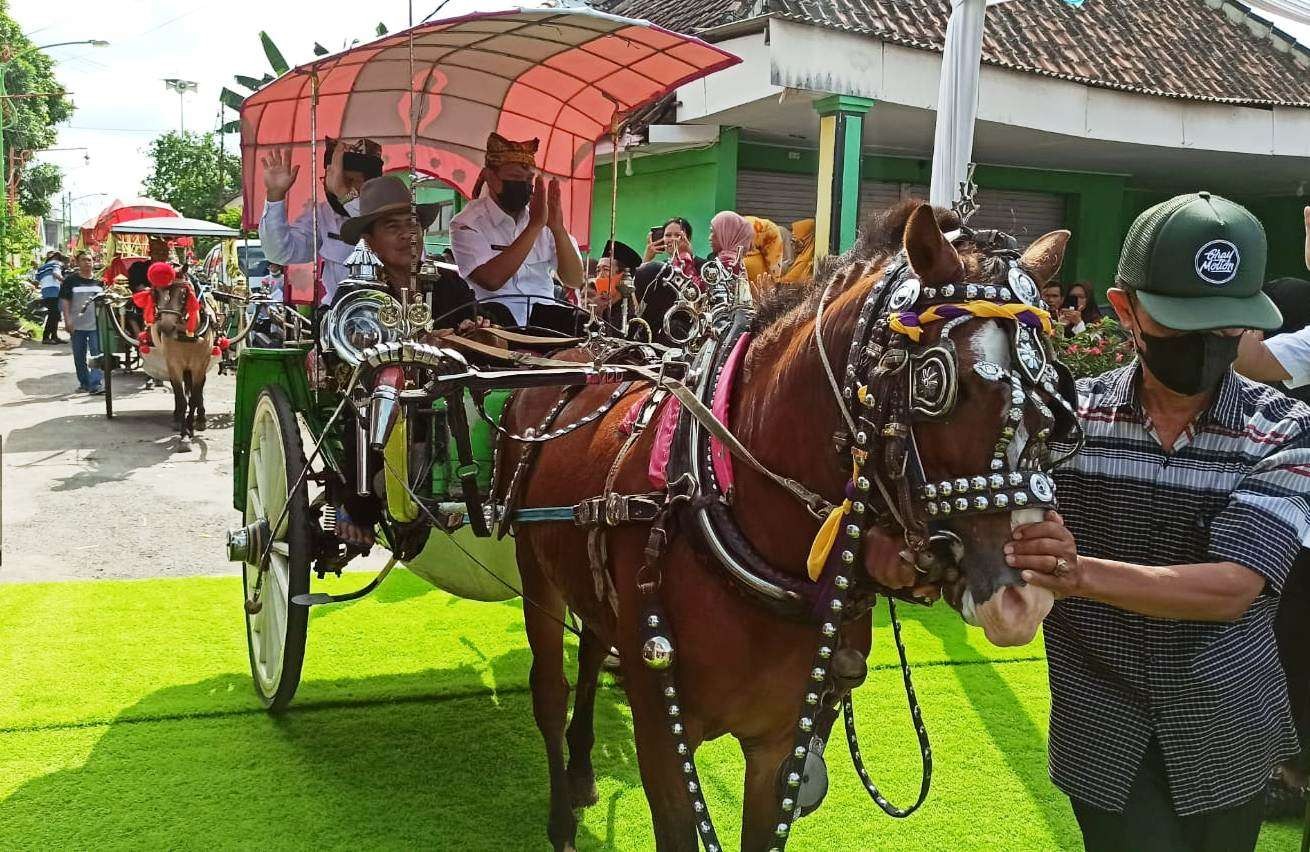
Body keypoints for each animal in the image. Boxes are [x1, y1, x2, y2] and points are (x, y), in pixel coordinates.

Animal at [150, 279, 214, 450]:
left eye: (184, 294)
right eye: (156, 292)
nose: (166, 327)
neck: (186, 336)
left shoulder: (199, 366)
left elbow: (193, 398)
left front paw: (191, 428)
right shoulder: (174, 366)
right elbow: (182, 399)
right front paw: (184, 435)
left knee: (198, 390)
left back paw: (201, 418)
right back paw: (178, 419)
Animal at [495, 201, 1068, 844]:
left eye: (1053, 397)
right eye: (938, 384)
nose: (1024, 601)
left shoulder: (779, 745)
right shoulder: (661, 734)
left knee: (593, 648)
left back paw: (582, 769)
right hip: (532, 568)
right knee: (550, 689)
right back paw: (561, 816)